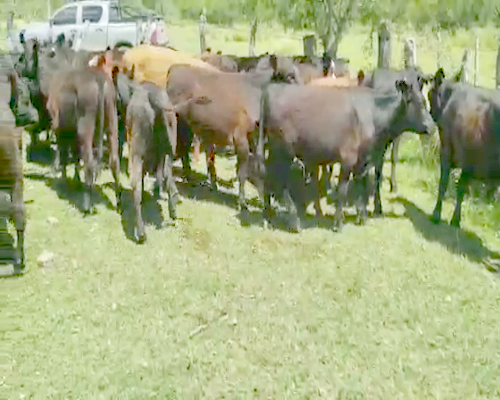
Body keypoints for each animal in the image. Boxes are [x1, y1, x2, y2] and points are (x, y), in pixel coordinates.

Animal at [430, 67, 500, 227]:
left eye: (430, 94)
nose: (430, 113)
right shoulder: (469, 159)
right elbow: (461, 187)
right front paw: (456, 220)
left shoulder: (447, 149)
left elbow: (443, 183)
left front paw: (436, 214)